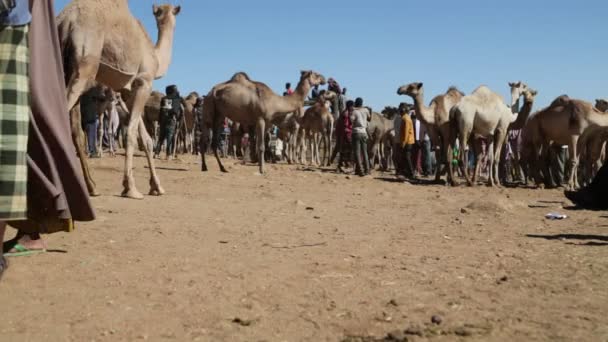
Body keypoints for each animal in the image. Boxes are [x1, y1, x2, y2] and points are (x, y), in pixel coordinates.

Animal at [56, 0, 180, 198]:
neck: (155, 58)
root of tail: (64, 20)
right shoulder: (144, 83)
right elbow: (131, 132)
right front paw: (130, 187)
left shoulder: (128, 91)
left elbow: (146, 139)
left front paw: (156, 186)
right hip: (85, 63)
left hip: (66, 66)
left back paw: (91, 187)